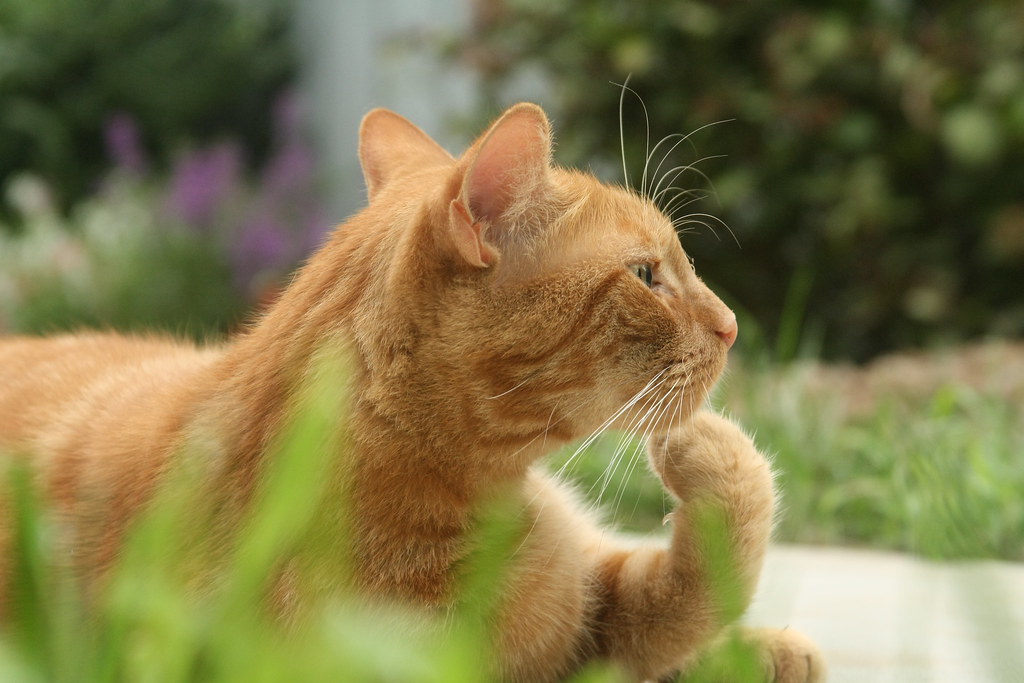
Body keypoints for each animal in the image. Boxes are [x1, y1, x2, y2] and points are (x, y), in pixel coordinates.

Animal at [0, 104, 819, 679]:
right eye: (648, 276)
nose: (733, 327)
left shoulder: (588, 607)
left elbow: (679, 599)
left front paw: (757, 652)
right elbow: (691, 597)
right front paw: (701, 445)